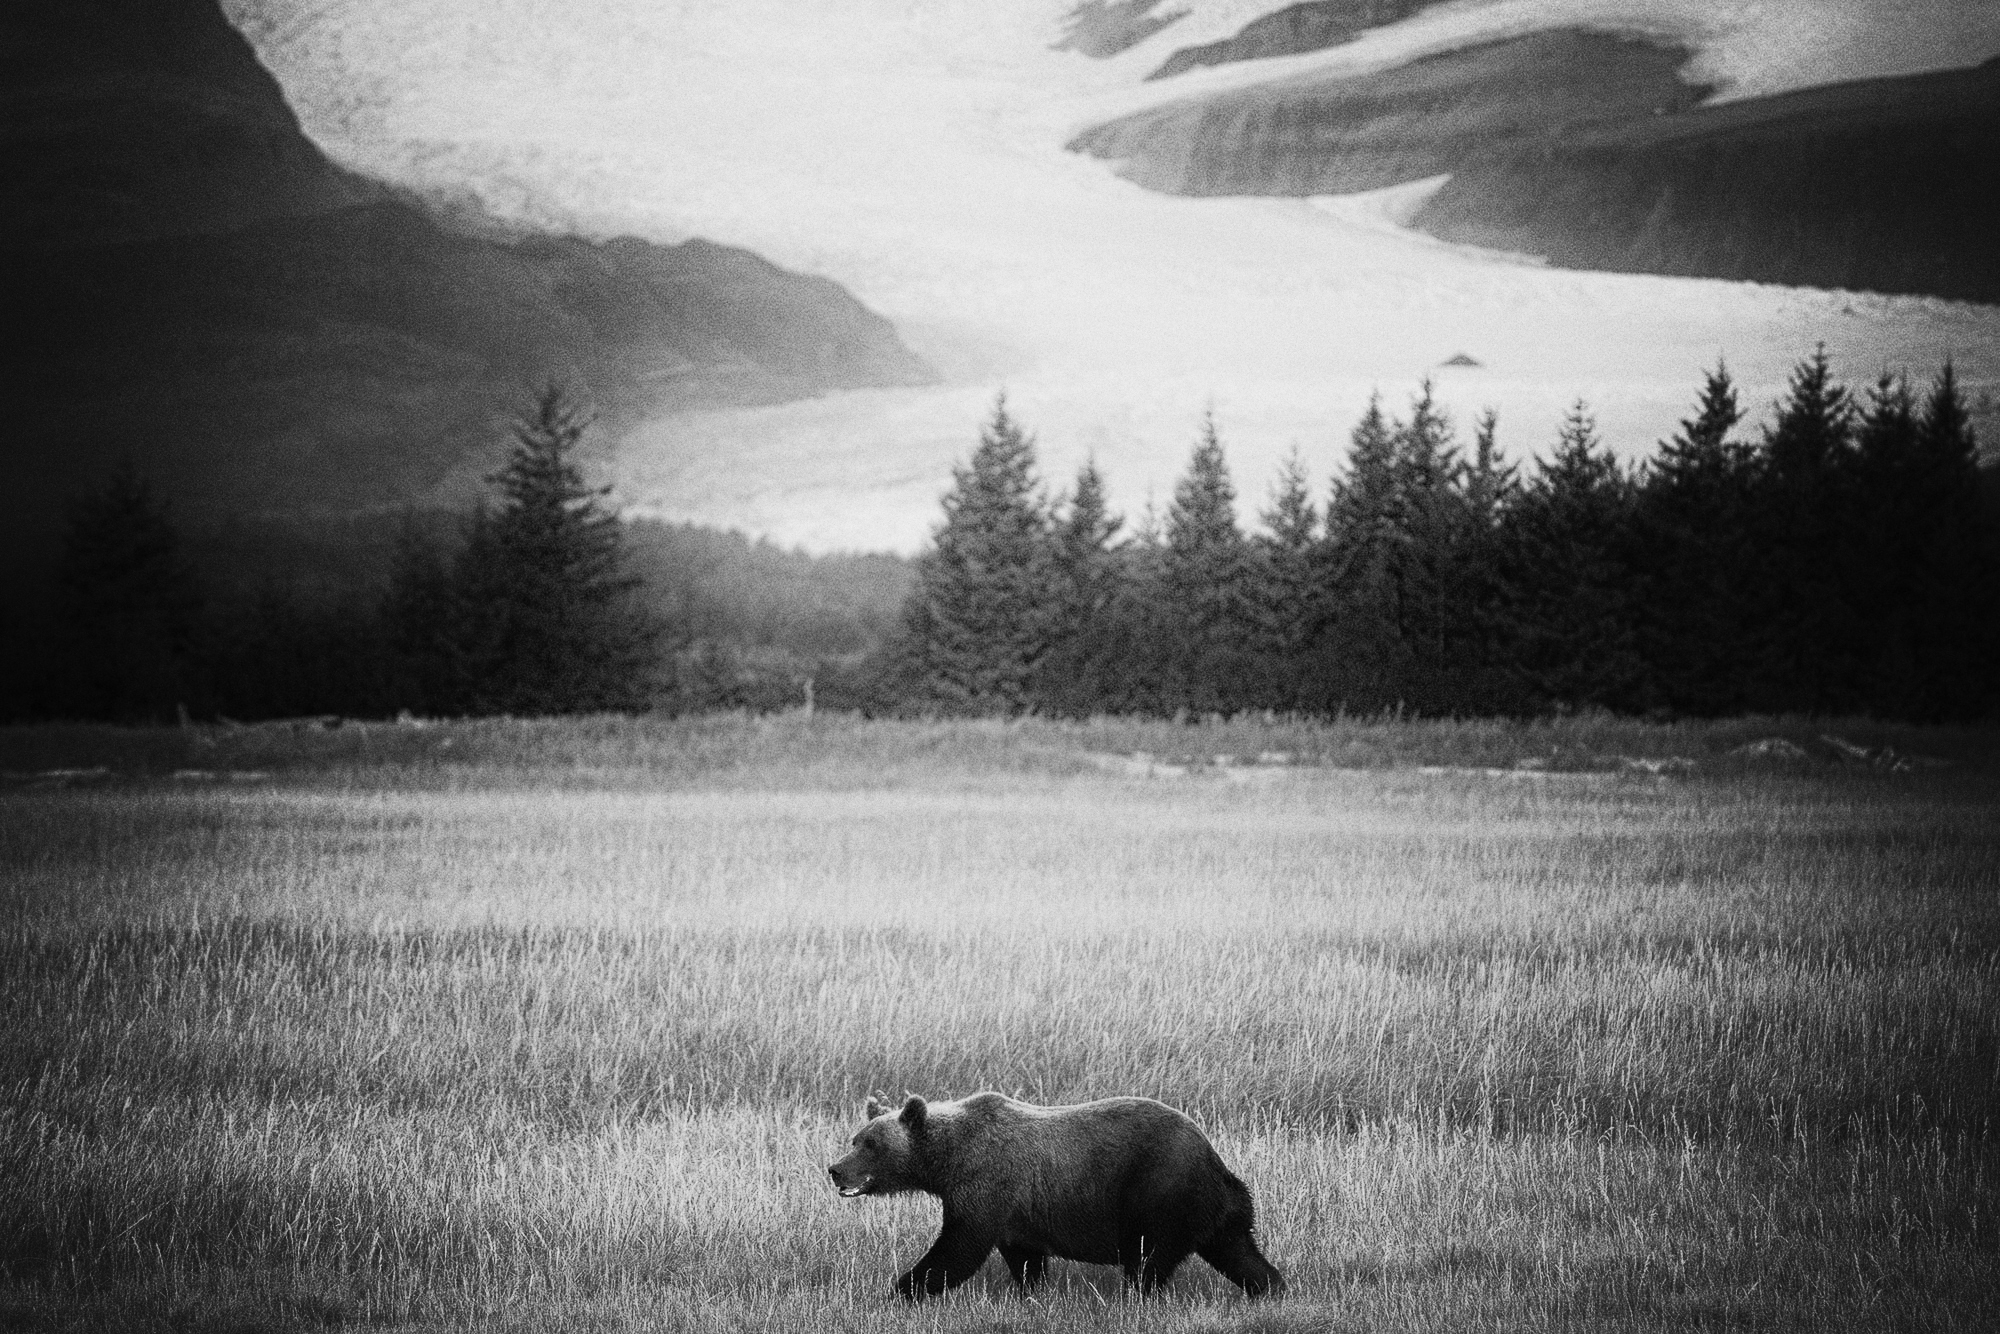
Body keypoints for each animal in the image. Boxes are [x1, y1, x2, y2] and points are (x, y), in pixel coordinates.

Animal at [828, 1091, 1284, 1301]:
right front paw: (1030, 1293)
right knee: (1238, 1249)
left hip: (1161, 1190)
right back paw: (1271, 1287)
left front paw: (900, 1289)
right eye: (855, 1139)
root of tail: (1213, 1157)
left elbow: (957, 1248)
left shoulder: (985, 1184)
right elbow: (1024, 1256)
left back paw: (1134, 1299)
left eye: (871, 1145)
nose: (834, 1169)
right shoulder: (1016, 1212)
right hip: (1214, 1208)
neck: (948, 1162)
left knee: (1148, 1259)